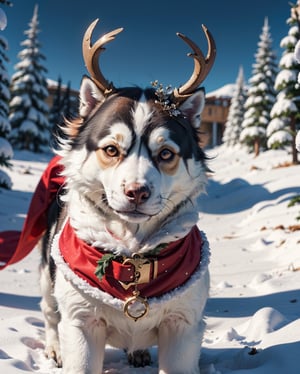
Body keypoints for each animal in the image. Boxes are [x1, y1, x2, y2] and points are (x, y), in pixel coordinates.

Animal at [39, 18, 217, 374]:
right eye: (111, 149)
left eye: (166, 153)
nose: (137, 192)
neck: (132, 260)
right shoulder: (81, 321)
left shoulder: (184, 324)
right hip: (47, 278)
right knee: (49, 313)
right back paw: (54, 348)